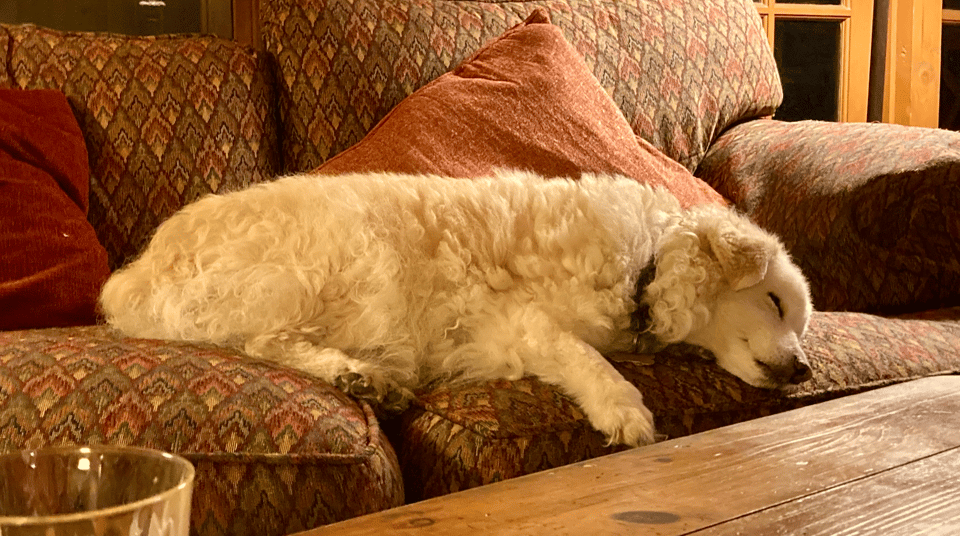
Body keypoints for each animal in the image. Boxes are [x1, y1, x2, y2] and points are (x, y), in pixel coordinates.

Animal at [103, 171, 808, 444]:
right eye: (774, 300)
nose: (804, 371)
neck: (646, 263)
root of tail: (137, 275)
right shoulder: (526, 321)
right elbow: (588, 359)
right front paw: (624, 410)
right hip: (333, 258)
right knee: (265, 343)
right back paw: (360, 375)